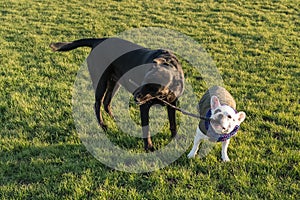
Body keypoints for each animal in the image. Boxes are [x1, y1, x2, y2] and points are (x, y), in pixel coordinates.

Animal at [50, 37, 184, 151]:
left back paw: (114, 119)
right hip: (101, 82)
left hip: (115, 83)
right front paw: (149, 147)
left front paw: (175, 140)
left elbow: (173, 124)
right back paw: (103, 125)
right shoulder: (144, 106)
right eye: (144, 80)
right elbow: (146, 129)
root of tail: (98, 40)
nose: (135, 96)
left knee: (106, 102)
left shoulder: (172, 103)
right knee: (97, 103)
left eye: (152, 87)